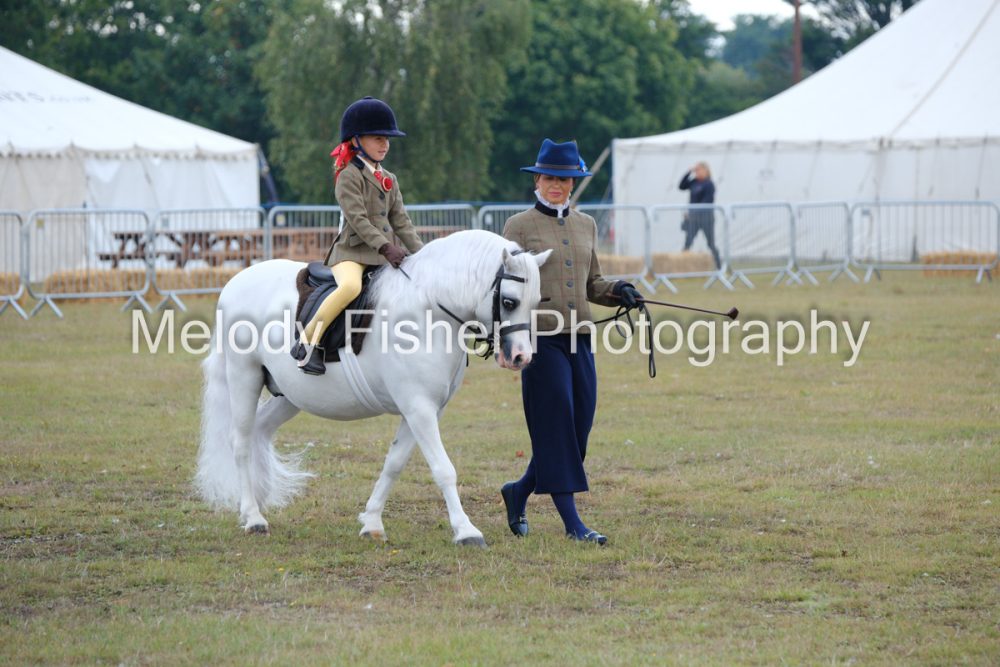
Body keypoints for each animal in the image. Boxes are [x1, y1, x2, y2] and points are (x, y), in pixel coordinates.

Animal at [195, 229, 551, 546]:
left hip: (289, 396)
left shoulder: (423, 410)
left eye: (536, 301)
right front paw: (466, 531)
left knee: (259, 431)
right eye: (509, 301)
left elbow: (394, 464)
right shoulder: (419, 408)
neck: (428, 309)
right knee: (241, 443)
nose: (521, 357)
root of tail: (234, 283)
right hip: (244, 377)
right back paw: (254, 518)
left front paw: (372, 523)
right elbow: (443, 469)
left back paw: (256, 504)